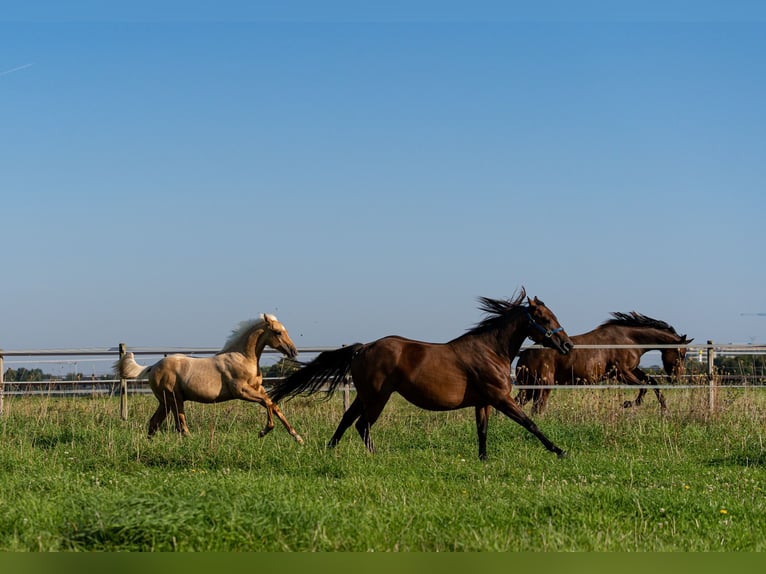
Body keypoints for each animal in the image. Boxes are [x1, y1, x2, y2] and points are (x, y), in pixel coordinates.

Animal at [114, 313, 304, 443]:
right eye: (278, 332)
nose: (293, 351)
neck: (242, 357)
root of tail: (152, 367)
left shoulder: (258, 389)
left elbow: (274, 405)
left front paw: (298, 437)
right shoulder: (242, 391)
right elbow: (268, 403)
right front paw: (264, 431)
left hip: (166, 402)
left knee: (155, 423)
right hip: (174, 400)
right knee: (180, 426)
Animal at [269, 289, 574, 460]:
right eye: (544, 318)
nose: (567, 345)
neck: (489, 350)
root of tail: (362, 348)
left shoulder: (483, 402)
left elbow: (483, 431)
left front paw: (483, 459)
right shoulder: (500, 397)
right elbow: (530, 424)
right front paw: (559, 451)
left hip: (364, 395)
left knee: (347, 420)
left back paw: (330, 450)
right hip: (377, 396)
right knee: (362, 425)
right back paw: (376, 456)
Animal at [514, 312, 692, 415]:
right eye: (681, 354)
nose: (676, 378)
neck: (630, 339)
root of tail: (523, 354)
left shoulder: (632, 369)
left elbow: (652, 382)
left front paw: (665, 410)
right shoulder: (621, 372)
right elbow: (643, 387)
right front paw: (627, 404)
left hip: (528, 388)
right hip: (542, 386)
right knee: (535, 408)